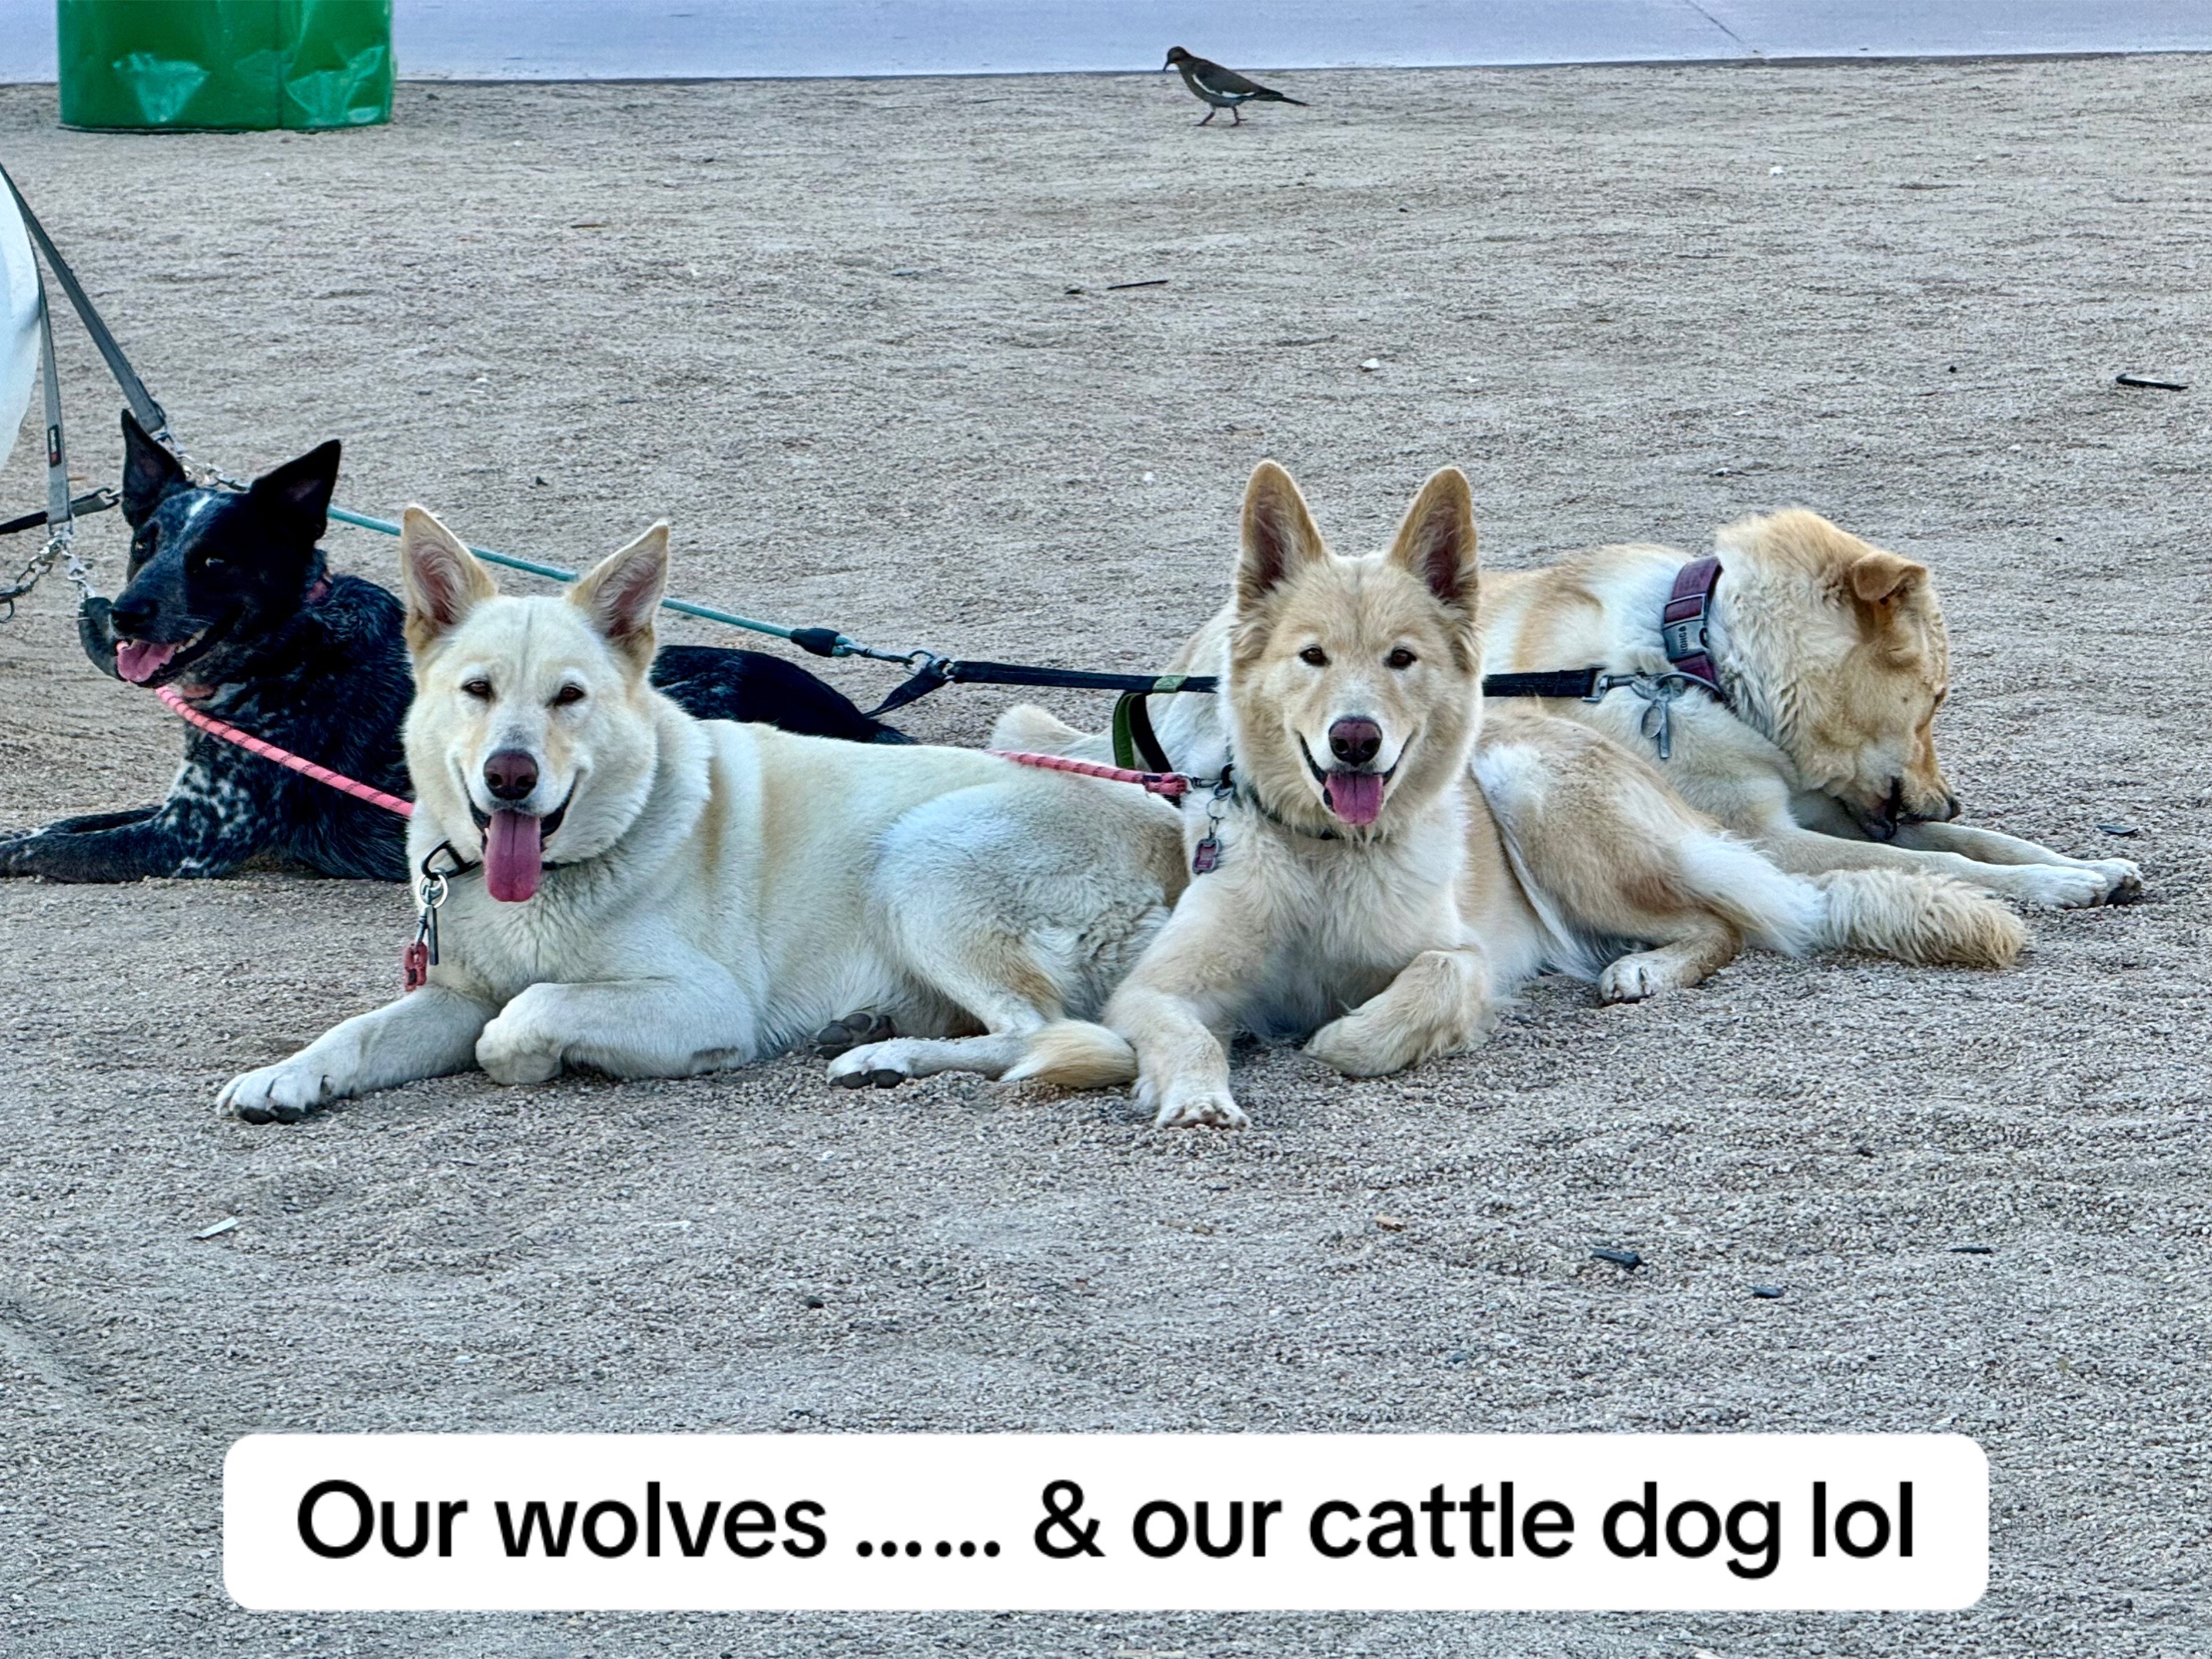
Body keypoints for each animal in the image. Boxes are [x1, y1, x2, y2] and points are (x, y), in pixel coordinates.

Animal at [216, 508, 1186, 1122]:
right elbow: (362, 1031)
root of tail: (1173, 843)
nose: (510, 777)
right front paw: (285, 1077)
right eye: (477, 690)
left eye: (570, 697)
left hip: (920, 864)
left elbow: (521, 1019)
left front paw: (542, 1060)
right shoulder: (453, 996)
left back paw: (884, 1058)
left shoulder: (702, 1003)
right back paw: (874, 1032)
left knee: (1060, 1034)